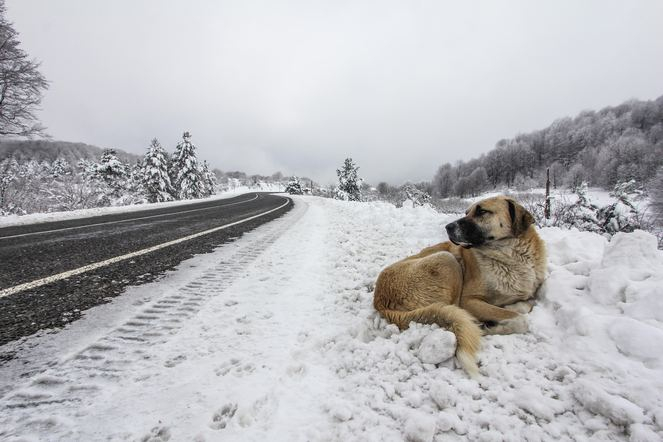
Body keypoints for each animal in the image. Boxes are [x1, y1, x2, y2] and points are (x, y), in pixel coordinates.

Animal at [376, 197, 548, 376]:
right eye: (467, 212)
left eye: (482, 211)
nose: (448, 227)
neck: (510, 259)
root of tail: (380, 301)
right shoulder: (469, 300)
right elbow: (521, 320)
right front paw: (492, 324)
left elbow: (526, 305)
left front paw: (510, 308)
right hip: (448, 259)